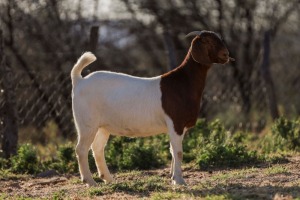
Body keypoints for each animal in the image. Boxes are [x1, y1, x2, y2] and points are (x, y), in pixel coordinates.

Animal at [71, 30, 233, 186]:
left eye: (220, 39)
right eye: (207, 41)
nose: (226, 55)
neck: (183, 82)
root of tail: (79, 80)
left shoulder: (177, 127)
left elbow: (172, 151)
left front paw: (173, 178)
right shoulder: (176, 123)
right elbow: (178, 152)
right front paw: (180, 181)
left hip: (102, 126)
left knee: (97, 148)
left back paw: (108, 179)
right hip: (86, 123)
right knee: (81, 149)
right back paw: (90, 181)